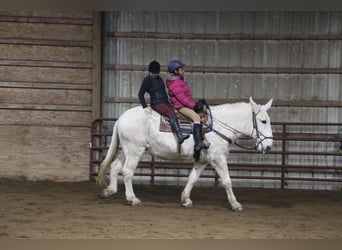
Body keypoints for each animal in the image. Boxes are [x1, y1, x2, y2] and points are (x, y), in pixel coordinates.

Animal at [96, 97, 272, 211]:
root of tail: (121, 119)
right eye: (263, 121)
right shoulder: (218, 158)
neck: (218, 127)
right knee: (127, 172)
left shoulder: (202, 161)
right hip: (134, 151)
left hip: (126, 150)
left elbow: (192, 178)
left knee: (115, 167)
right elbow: (227, 181)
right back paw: (133, 199)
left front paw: (186, 199)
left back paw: (109, 191)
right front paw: (235, 204)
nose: (269, 146)